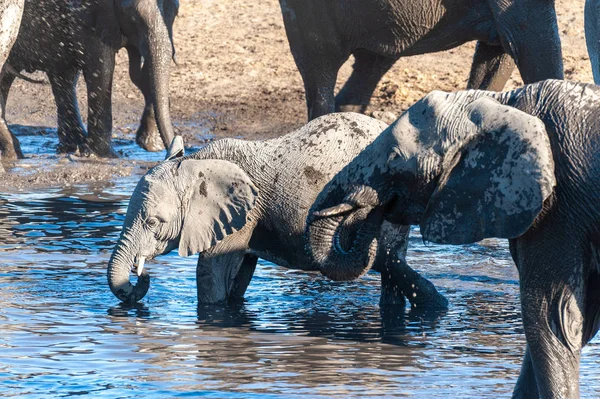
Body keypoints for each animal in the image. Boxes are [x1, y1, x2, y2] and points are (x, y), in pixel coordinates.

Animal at [0, 0, 178, 159]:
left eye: (176, 13)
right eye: (133, 16)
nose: (176, 152)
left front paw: (150, 145)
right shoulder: (86, 14)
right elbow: (102, 65)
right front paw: (104, 156)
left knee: (62, 77)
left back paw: (70, 147)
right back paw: (13, 154)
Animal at [106, 114, 450, 310]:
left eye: (153, 222)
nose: (141, 274)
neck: (196, 162)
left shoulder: (241, 217)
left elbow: (211, 274)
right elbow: (238, 276)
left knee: (387, 257)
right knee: (392, 261)